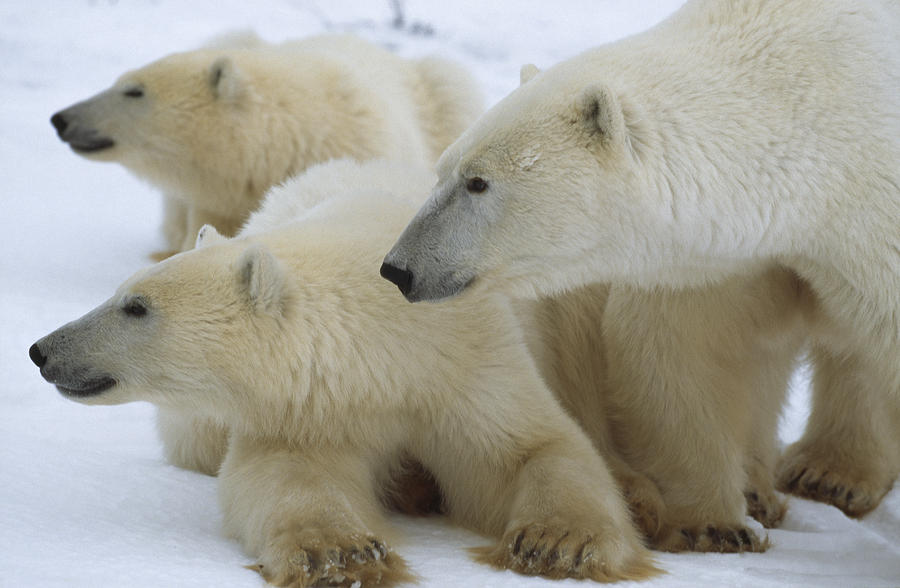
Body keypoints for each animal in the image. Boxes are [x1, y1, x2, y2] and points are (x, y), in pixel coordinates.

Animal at [31, 158, 656, 584]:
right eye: (123, 294)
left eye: (135, 306)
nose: (42, 349)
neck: (385, 348)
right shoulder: (312, 401)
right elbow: (290, 473)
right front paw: (340, 552)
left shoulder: (467, 354)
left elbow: (531, 446)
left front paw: (559, 543)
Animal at [384, 0, 900, 548]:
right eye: (442, 170)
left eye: (478, 182)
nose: (398, 268)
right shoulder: (726, 255)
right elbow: (680, 344)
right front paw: (713, 525)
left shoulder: (869, 217)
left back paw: (833, 475)